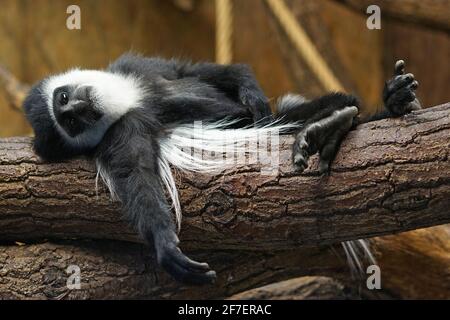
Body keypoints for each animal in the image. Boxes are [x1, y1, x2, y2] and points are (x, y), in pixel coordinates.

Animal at [22, 53, 422, 284]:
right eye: (70, 123)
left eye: (63, 100)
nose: (76, 106)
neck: (129, 99)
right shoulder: (123, 130)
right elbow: (134, 173)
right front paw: (165, 243)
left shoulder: (137, 66)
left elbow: (203, 71)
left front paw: (250, 92)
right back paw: (328, 130)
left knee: (329, 104)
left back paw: (388, 103)